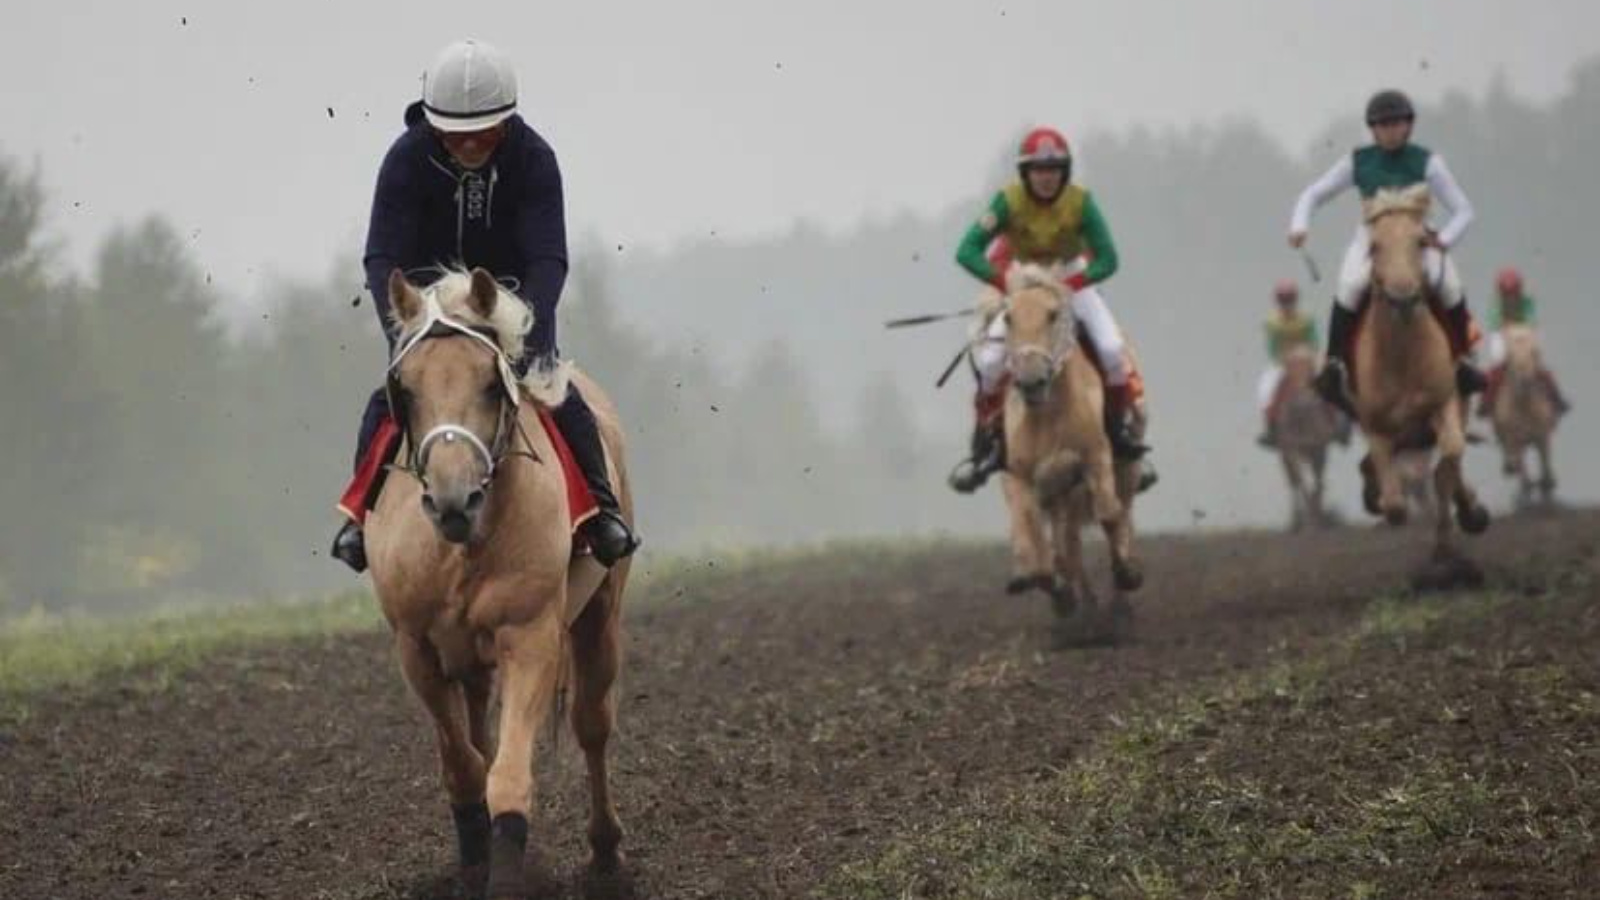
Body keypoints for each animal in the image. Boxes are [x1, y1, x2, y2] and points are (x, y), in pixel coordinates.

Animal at [366, 267, 633, 896]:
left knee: (592, 724)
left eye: (491, 384)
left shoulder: (529, 635)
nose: (452, 500)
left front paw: (505, 871)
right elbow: (465, 764)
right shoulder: (416, 646)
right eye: (405, 390)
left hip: (600, 616)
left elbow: (507, 777)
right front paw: (473, 857)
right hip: (469, 657)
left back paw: (605, 850)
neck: (464, 545)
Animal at [992, 262, 1145, 634]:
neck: (1048, 415)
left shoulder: (1096, 458)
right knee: (1067, 545)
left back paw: (1120, 601)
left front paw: (1126, 574)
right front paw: (1060, 596)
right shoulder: (1021, 477)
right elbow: (1037, 549)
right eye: (1008, 318)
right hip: (1060, 497)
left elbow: (1109, 514)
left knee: (1123, 514)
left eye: (1052, 314)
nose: (1031, 380)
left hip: (1125, 470)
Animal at [1356, 185, 1491, 566]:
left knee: (1447, 468)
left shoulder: (1443, 403)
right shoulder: (1377, 427)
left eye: (1420, 241)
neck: (1402, 358)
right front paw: (1378, 498)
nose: (1402, 296)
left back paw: (1464, 521)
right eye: (1374, 245)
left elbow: (1449, 460)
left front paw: (1466, 517)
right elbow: (1395, 505)